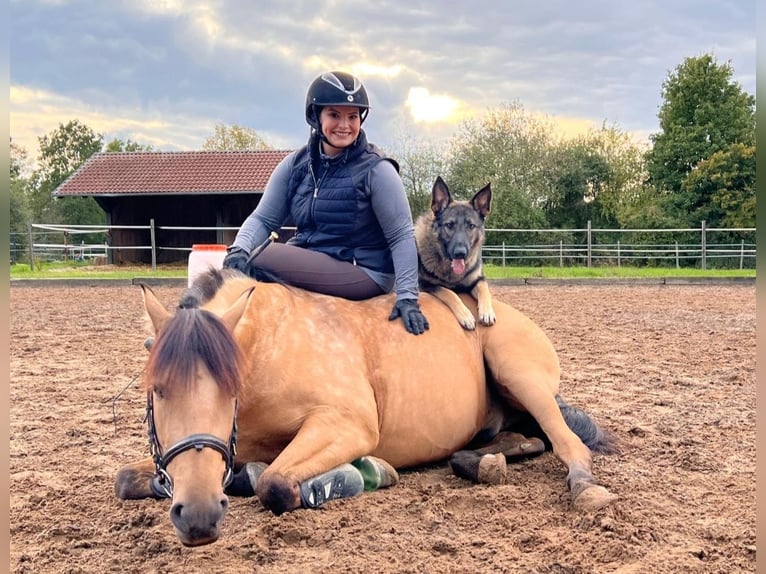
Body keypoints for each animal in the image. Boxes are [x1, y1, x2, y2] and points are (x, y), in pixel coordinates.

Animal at [115, 270, 616, 548]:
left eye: (228, 388)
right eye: (157, 390)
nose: (198, 516)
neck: (265, 347)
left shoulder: (347, 426)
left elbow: (275, 484)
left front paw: (361, 474)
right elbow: (126, 479)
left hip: (521, 377)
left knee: (566, 442)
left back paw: (583, 485)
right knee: (517, 440)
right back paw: (488, 460)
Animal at [416, 176, 496, 330]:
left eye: (471, 226)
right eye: (449, 225)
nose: (460, 253)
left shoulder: (477, 279)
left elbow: (484, 288)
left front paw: (487, 312)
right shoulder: (426, 285)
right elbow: (449, 292)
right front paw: (465, 315)